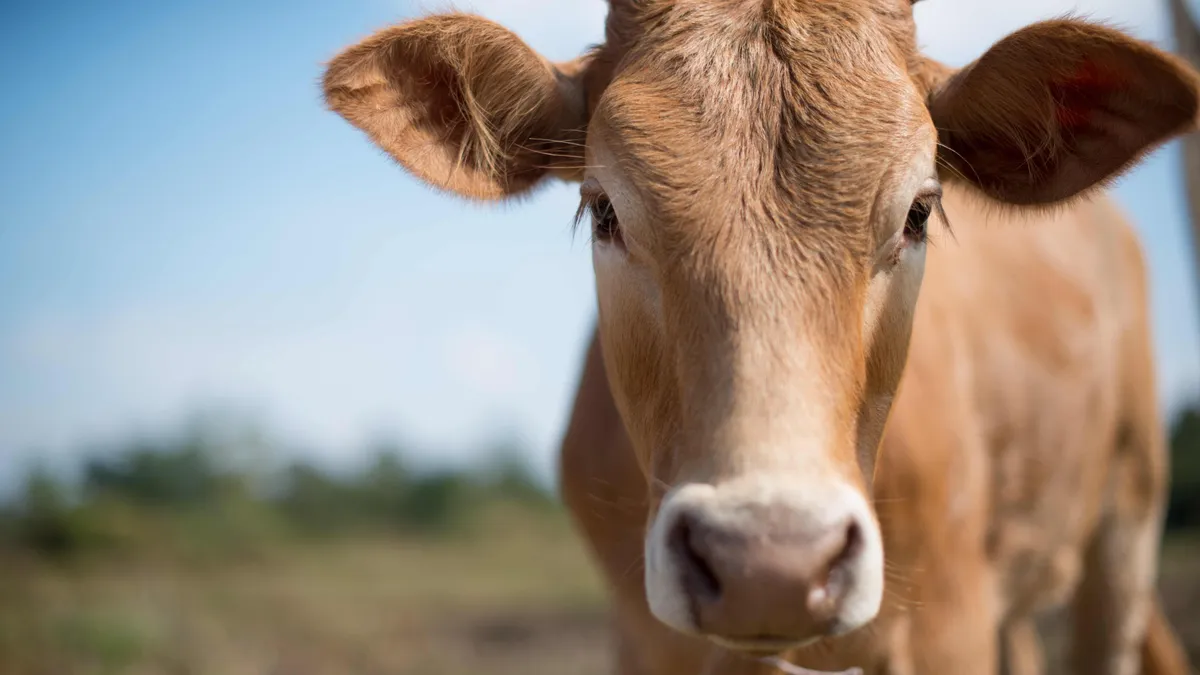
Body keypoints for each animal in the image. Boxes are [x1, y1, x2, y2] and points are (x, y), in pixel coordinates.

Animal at [321, 2, 1200, 667]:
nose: (769, 563)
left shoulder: (953, 620)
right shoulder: (645, 638)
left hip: (1124, 524)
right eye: (604, 209)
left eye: (919, 210)